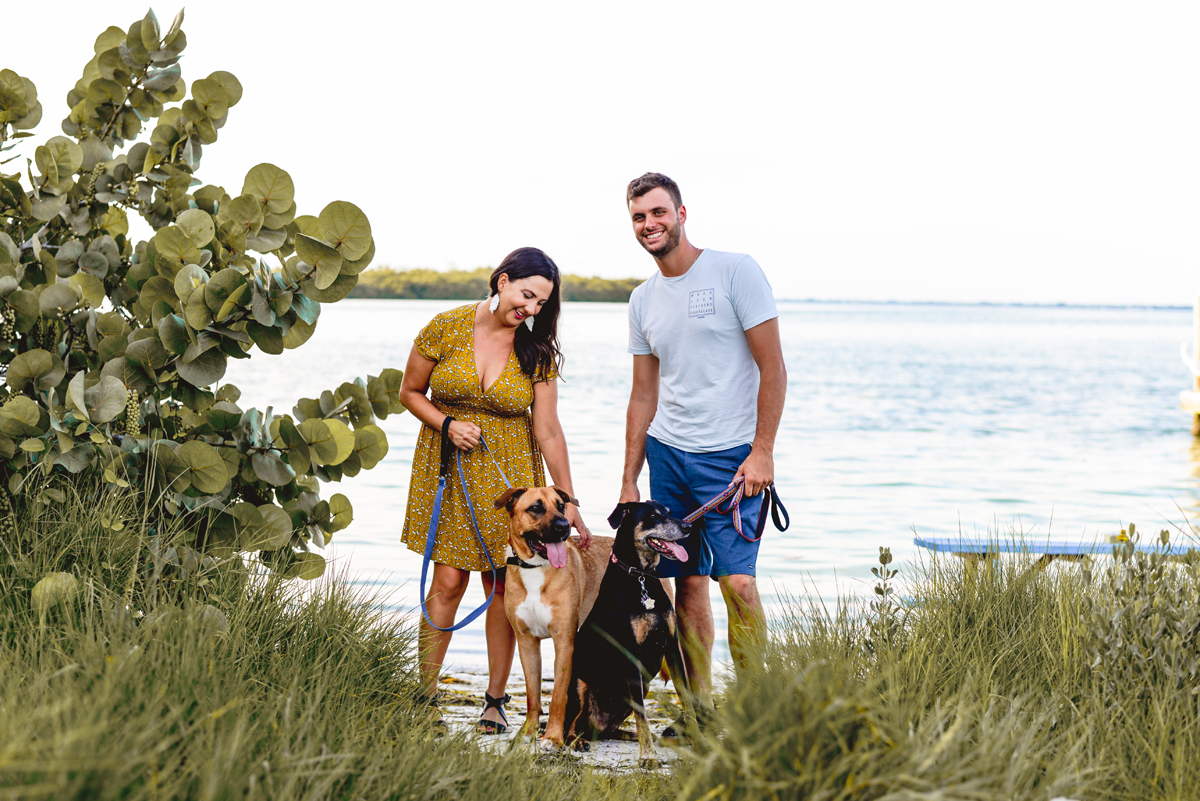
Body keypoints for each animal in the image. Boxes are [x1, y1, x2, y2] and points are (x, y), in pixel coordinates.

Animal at [494, 484, 614, 753]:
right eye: (535, 508)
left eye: (561, 505)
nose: (564, 526)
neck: (536, 568)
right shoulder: (526, 642)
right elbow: (533, 695)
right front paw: (528, 733)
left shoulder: (564, 642)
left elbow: (559, 695)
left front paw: (553, 737)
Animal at [564, 501, 691, 762]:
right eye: (653, 516)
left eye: (669, 513)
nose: (688, 527)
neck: (641, 576)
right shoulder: (632, 653)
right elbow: (642, 715)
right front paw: (648, 758)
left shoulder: (672, 646)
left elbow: (685, 698)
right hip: (579, 685)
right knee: (568, 728)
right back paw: (577, 741)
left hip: (642, 687)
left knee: (607, 731)